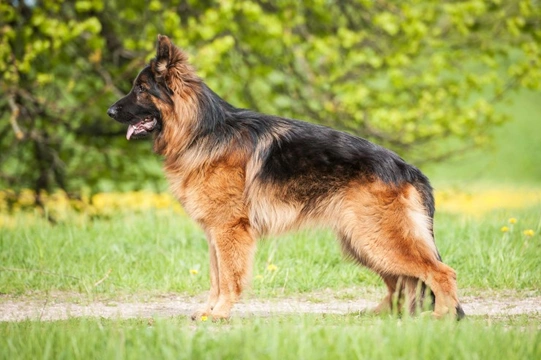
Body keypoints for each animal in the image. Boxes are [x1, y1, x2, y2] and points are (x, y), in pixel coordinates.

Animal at [106, 35, 464, 320]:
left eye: (141, 89)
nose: (110, 111)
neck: (202, 131)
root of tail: (409, 168)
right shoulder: (214, 234)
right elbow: (215, 277)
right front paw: (208, 310)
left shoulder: (229, 230)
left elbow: (228, 278)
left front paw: (220, 313)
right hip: (362, 240)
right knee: (403, 282)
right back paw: (382, 316)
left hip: (377, 238)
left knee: (440, 273)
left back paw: (441, 318)